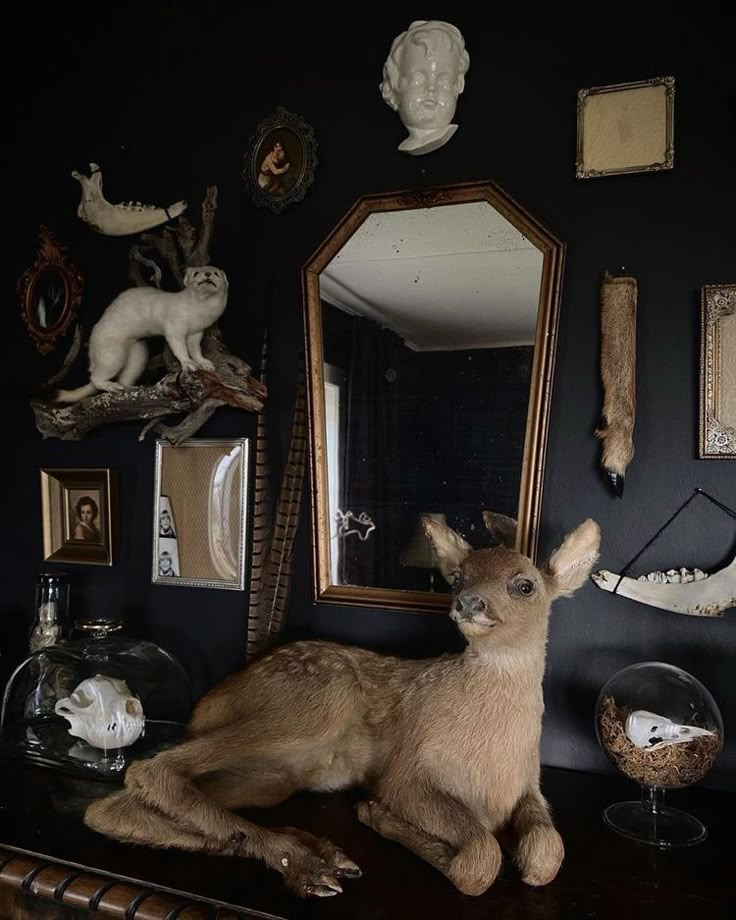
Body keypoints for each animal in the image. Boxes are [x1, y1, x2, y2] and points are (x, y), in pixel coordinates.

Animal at [55, 262, 229, 398]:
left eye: (216, 273)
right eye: (196, 273)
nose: (207, 274)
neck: (198, 313)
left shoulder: (197, 331)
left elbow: (195, 348)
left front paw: (204, 363)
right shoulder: (174, 323)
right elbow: (177, 344)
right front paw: (188, 363)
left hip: (138, 353)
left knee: (127, 374)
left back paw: (130, 387)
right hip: (111, 352)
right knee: (96, 377)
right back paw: (111, 385)